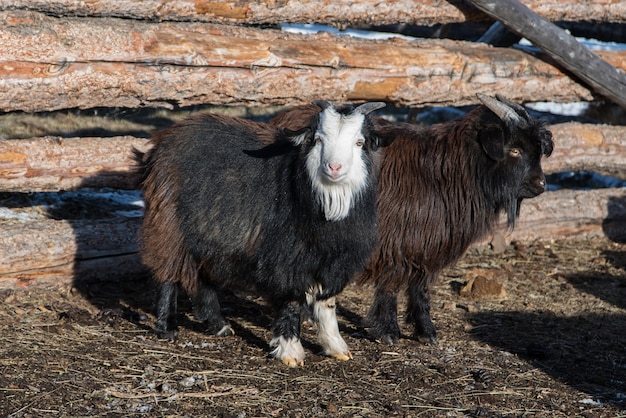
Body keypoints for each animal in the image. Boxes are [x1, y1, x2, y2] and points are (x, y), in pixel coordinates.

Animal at [270, 95, 552, 346]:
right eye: (514, 149)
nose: (541, 185)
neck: (451, 170)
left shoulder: (426, 246)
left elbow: (420, 288)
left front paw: (426, 331)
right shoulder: (393, 243)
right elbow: (391, 285)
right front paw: (388, 331)